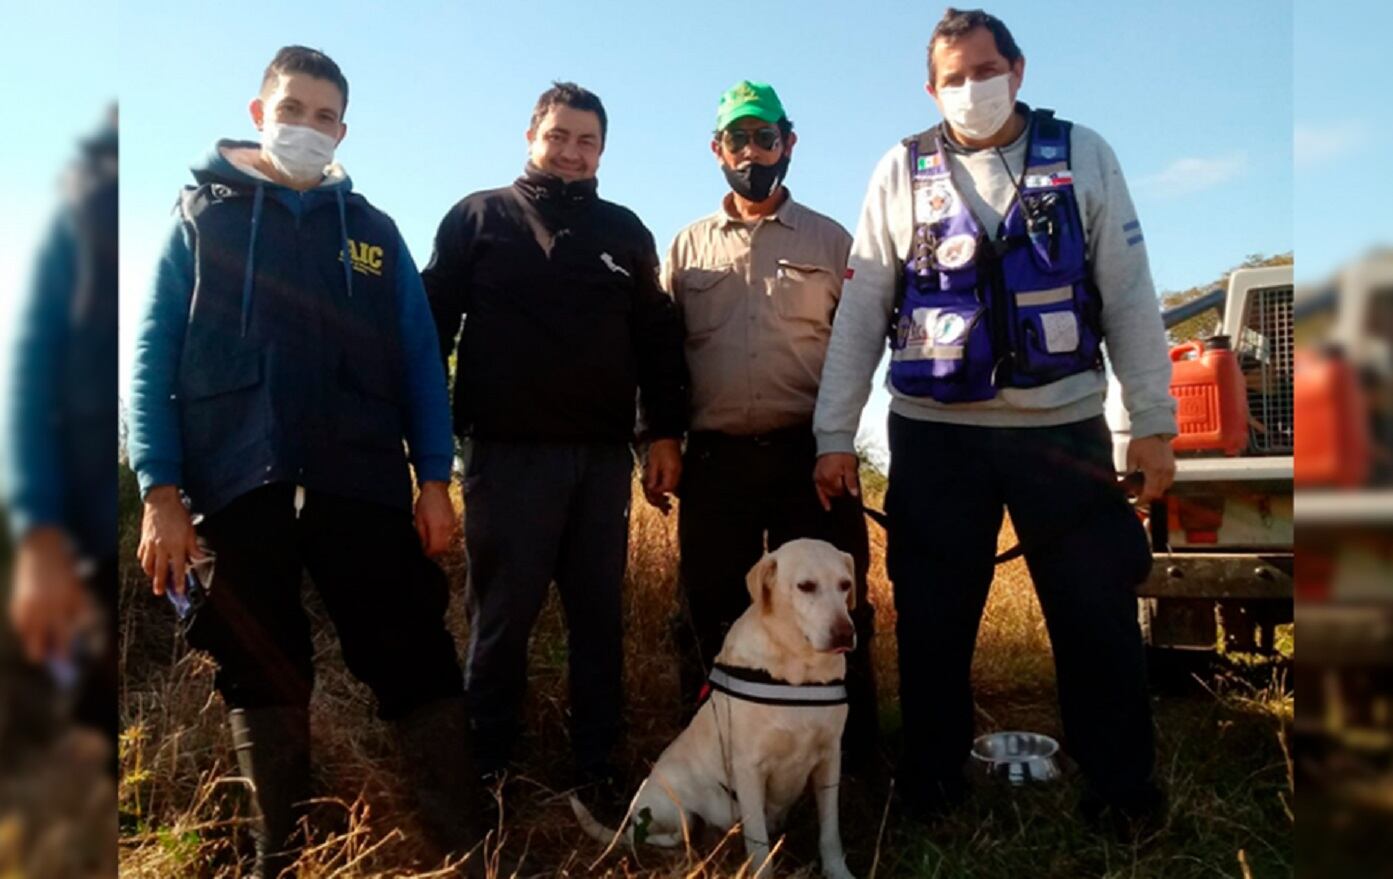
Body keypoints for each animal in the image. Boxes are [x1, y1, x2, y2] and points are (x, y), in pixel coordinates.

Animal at [568, 537, 852, 879]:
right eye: (806, 586)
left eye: (845, 585)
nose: (845, 633)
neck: (798, 670)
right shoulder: (749, 769)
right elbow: (758, 843)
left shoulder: (830, 759)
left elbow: (831, 833)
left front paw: (838, 871)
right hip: (671, 806)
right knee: (653, 834)